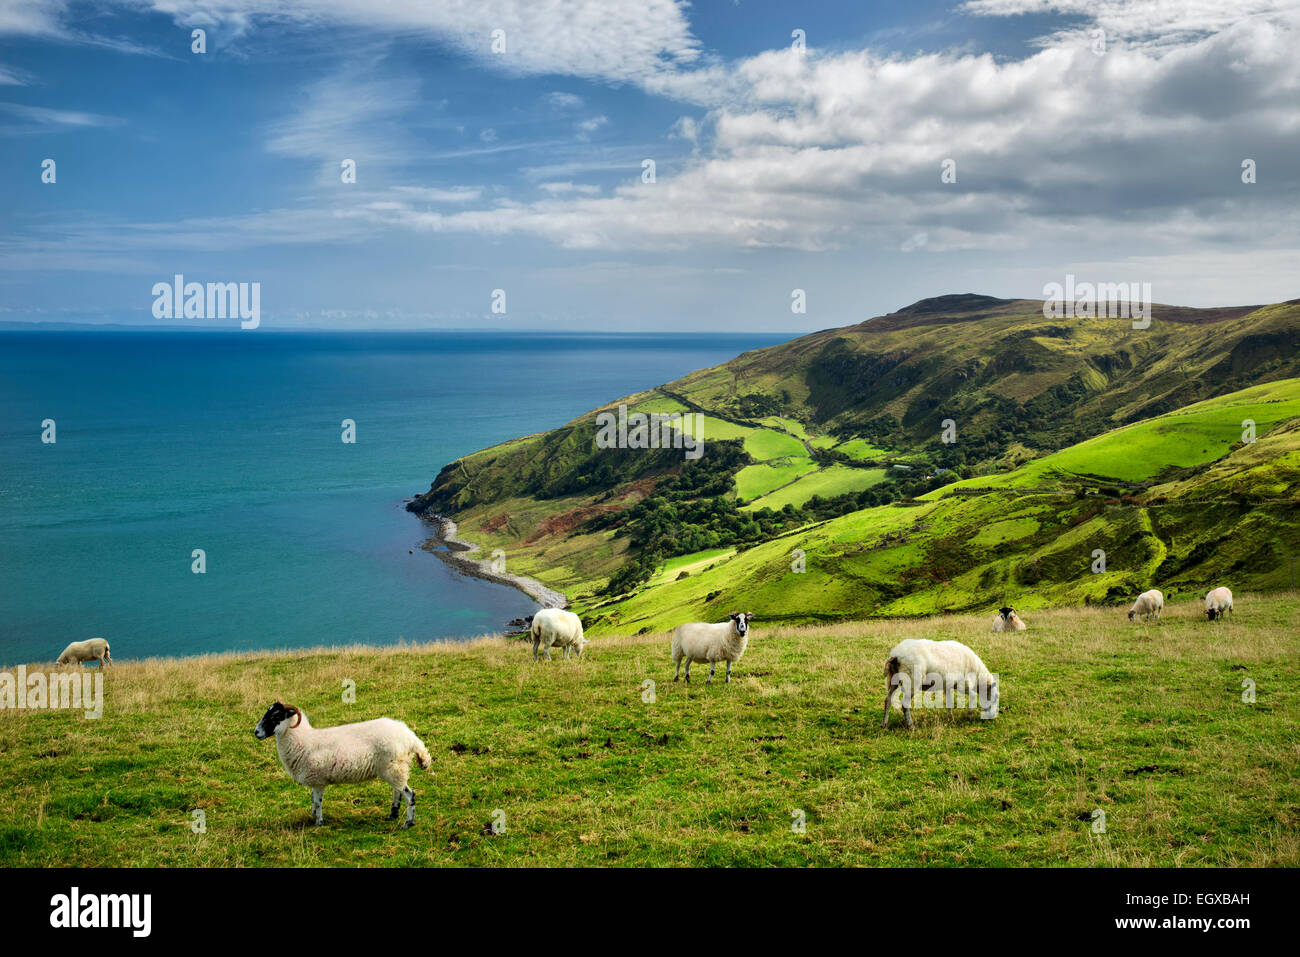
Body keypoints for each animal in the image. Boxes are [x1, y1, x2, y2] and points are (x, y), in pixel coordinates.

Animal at [250, 696, 434, 826]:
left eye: (276, 715)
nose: (256, 732)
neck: (302, 739)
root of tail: (410, 736)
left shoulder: (318, 780)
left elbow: (317, 802)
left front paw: (318, 822)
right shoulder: (315, 781)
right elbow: (312, 799)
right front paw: (313, 817)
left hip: (393, 767)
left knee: (409, 794)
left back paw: (408, 823)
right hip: (393, 768)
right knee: (397, 791)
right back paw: (393, 814)